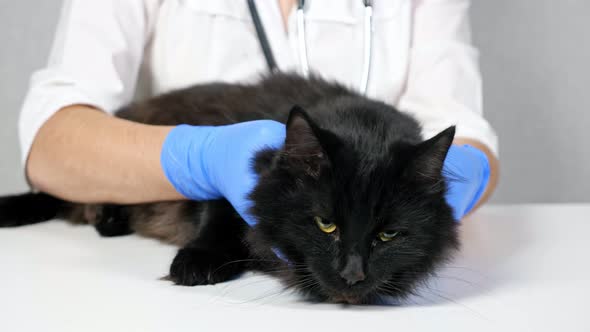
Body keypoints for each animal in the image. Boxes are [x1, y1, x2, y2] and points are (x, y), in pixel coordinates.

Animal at [0, 74, 460, 304]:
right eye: (325, 224)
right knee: (53, 196)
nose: (352, 274)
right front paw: (195, 264)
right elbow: (219, 213)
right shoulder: (230, 165)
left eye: (388, 234)